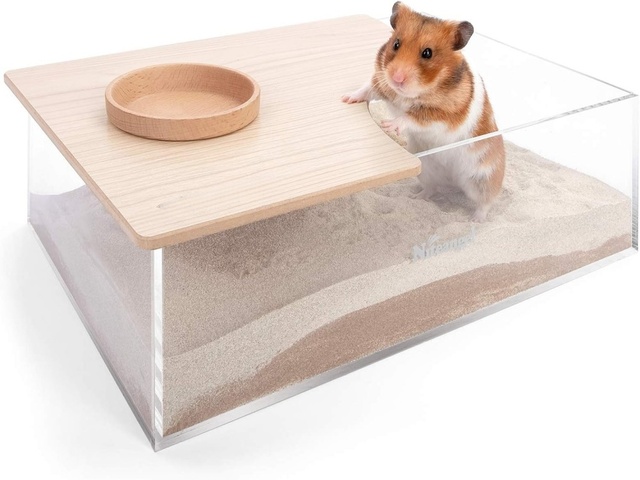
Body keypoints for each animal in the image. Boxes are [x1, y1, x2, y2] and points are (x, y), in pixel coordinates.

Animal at [342, 2, 505, 222]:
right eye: (396, 44)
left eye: (427, 53)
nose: (397, 78)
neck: (408, 94)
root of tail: (453, 182)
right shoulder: (381, 82)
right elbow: (366, 89)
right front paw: (347, 98)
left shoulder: (443, 117)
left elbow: (412, 117)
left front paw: (389, 126)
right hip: (426, 170)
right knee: (432, 189)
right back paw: (415, 196)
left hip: (483, 178)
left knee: (485, 202)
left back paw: (475, 220)